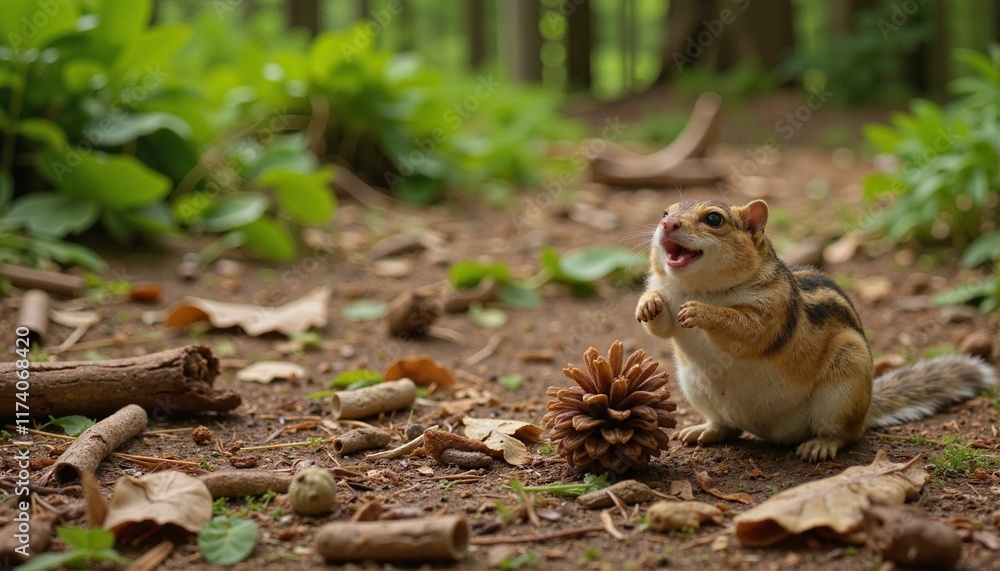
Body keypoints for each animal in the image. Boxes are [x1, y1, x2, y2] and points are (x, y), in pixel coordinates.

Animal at [635, 199, 997, 462]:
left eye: (714, 220)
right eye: (665, 211)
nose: (667, 224)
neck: (697, 288)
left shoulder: (773, 310)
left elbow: (745, 329)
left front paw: (702, 311)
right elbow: (661, 329)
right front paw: (648, 304)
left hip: (844, 386)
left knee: (845, 435)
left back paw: (820, 446)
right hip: (694, 387)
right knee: (729, 428)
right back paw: (703, 431)